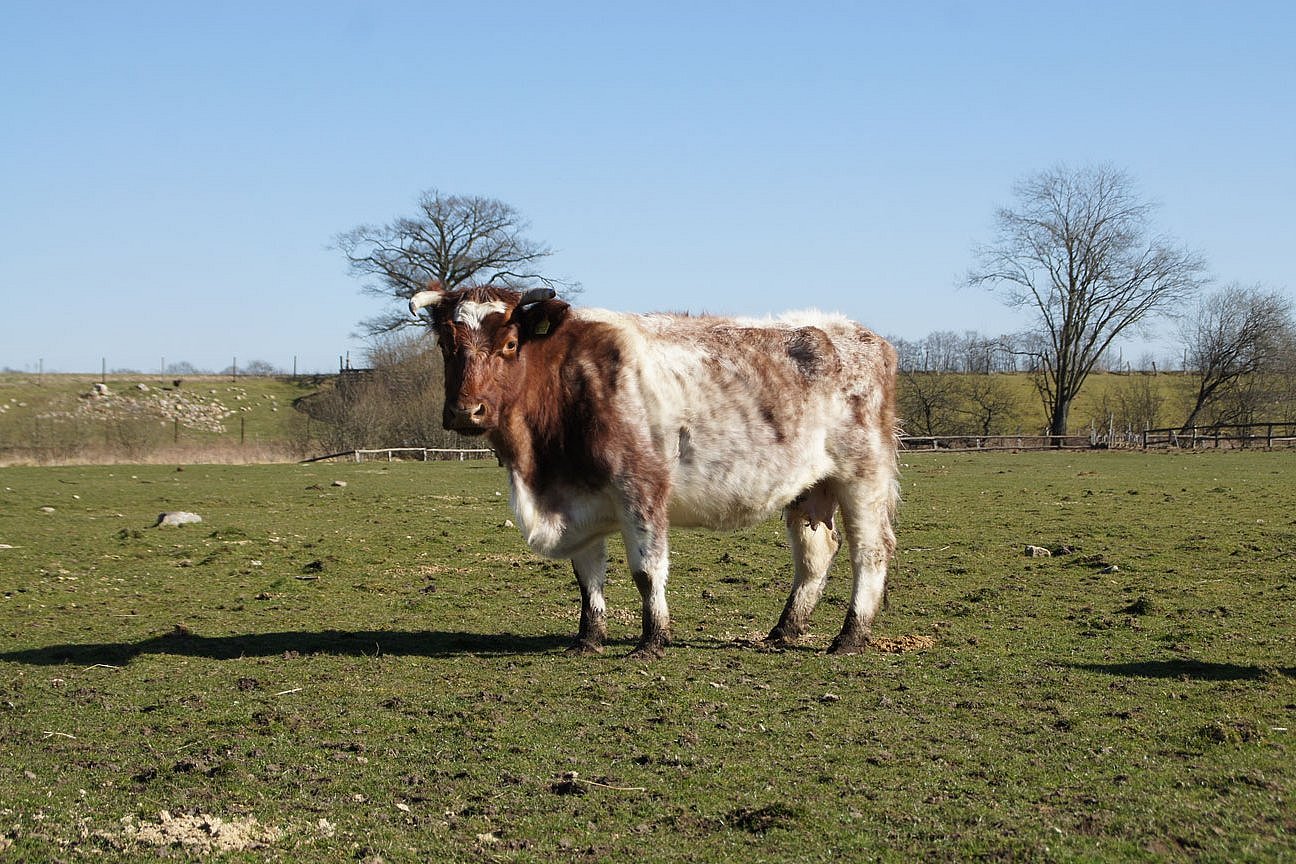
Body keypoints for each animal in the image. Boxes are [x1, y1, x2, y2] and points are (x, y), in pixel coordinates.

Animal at [409, 281, 896, 658]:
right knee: (816, 553)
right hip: (811, 487)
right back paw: (784, 631)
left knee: (869, 552)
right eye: (445, 345)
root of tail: (862, 334)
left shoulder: (641, 488)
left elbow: (646, 570)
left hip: (863, 478)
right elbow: (587, 574)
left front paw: (652, 640)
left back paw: (850, 637)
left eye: (510, 344)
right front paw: (588, 638)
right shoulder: (578, 497)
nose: (466, 412)